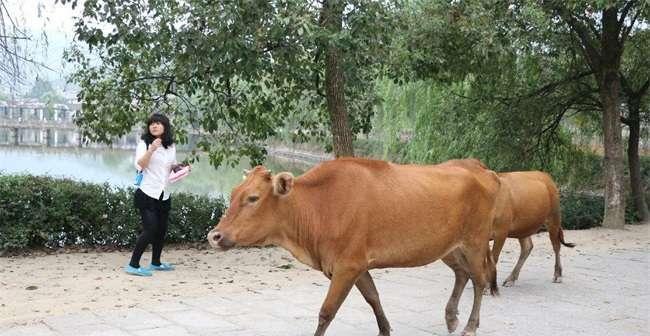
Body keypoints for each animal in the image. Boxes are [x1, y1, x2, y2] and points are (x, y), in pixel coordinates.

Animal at [206, 158, 496, 336]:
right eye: (233, 194)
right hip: (447, 246)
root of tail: (480, 167)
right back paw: (451, 317)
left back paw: (471, 325)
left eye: (253, 198)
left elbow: (327, 311)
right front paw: (385, 329)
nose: (214, 235)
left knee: (479, 279)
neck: (320, 207)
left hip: (476, 240)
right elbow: (373, 297)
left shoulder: (348, 264)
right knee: (462, 273)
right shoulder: (355, 265)